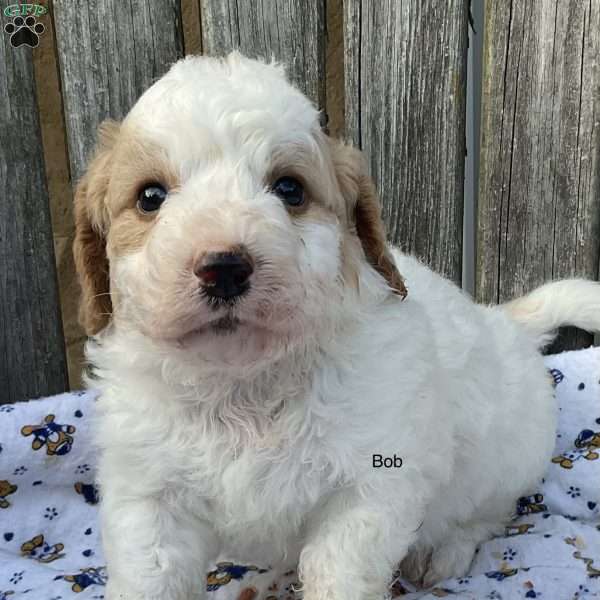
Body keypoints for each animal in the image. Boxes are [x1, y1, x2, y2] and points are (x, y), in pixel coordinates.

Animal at [74, 52, 600, 600]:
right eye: (150, 197)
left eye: (289, 189)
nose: (224, 267)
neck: (243, 386)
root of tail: (500, 320)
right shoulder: (149, 497)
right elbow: (149, 576)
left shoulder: (368, 490)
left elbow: (342, 573)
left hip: (506, 459)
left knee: (487, 513)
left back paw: (445, 552)